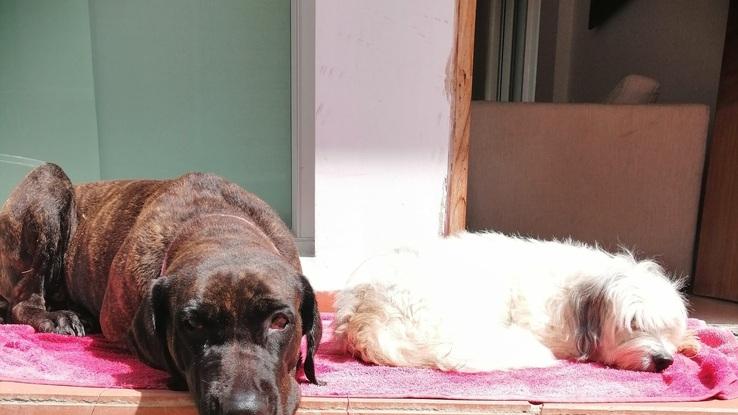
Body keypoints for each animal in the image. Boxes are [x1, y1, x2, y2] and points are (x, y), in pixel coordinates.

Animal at [0, 165, 320, 415]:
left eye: (280, 322)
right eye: (192, 324)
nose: (243, 408)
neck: (217, 224)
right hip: (48, 180)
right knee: (23, 302)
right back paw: (56, 317)